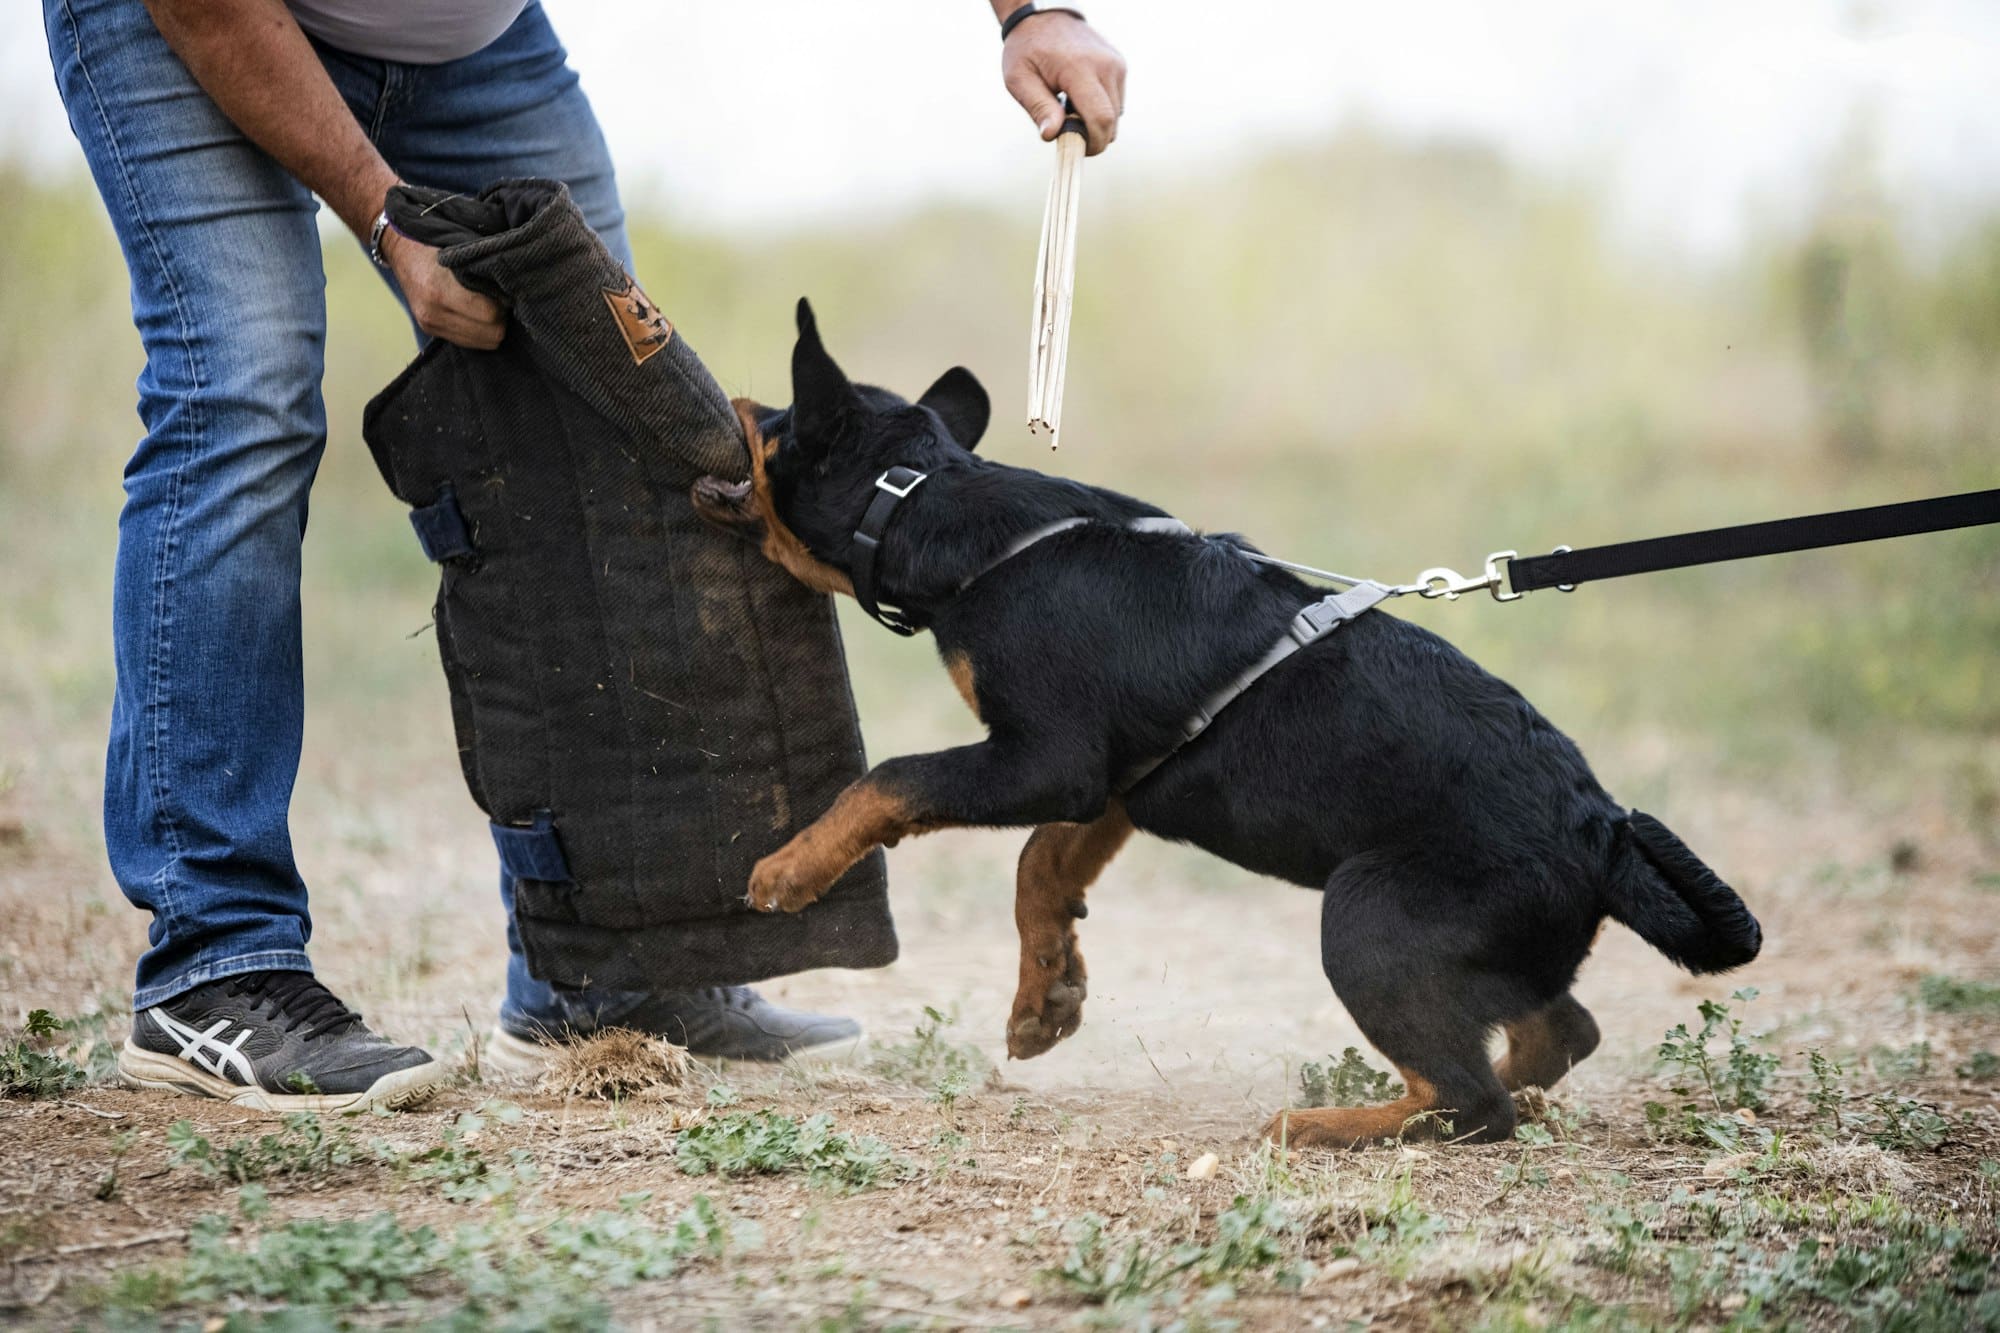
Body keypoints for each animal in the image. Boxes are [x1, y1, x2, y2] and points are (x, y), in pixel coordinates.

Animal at [696, 298, 1760, 1144]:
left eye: (777, 419)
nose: (732, 399)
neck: (930, 506)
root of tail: (1602, 830)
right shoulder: (1111, 783)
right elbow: (1041, 863)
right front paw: (1047, 992)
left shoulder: (1047, 759)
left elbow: (896, 778)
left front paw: (789, 868)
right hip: (1478, 947)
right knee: (1553, 1034)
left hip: (1368, 917)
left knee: (1470, 1102)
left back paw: (1329, 1123)